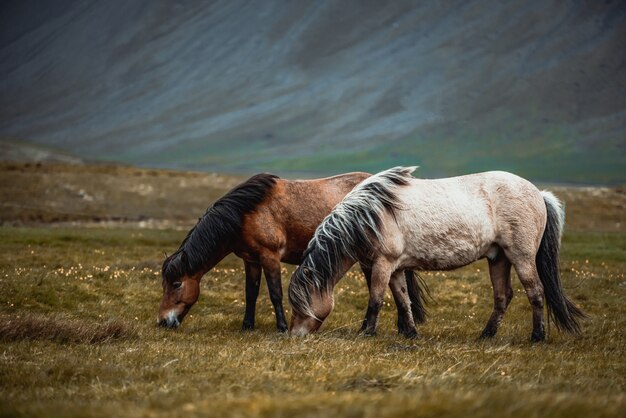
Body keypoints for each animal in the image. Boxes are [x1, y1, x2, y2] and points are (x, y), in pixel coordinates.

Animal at [158, 171, 426, 334]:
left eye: (176, 284)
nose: (162, 321)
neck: (245, 213)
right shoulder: (250, 260)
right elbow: (250, 294)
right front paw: (247, 326)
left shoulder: (270, 256)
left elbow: (275, 293)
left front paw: (282, 327)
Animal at [288, 165, 584, 342]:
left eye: (301, 302)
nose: (293, 335)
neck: (369, 216)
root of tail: (539, 193)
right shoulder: (396, 268)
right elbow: (403, 300)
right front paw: (411, 333)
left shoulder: (382, 265)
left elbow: (375, 299)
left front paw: (367, 332)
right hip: (498, 258)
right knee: (503, 296)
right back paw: (486, 335)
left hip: (521, 257)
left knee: (535, 292)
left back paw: (537, 336)